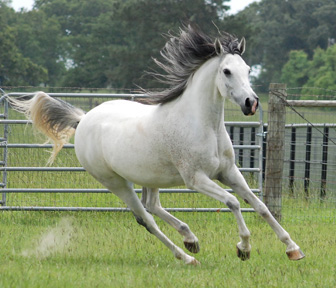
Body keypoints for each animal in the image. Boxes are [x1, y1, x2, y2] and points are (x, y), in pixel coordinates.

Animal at [9, 25, 304, 264]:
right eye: (227, 71)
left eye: (249, 69)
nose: (251, 103)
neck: (202, 125)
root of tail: (83, 120)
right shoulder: (196, 179)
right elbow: (233, 202)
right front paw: (243, 248)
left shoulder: (228, 172)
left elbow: (260, 205)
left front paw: (293, 249)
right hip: (116, 183)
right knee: (146, 219)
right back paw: (186, 257)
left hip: (149, 177)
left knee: (152, 206)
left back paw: (191, 240)